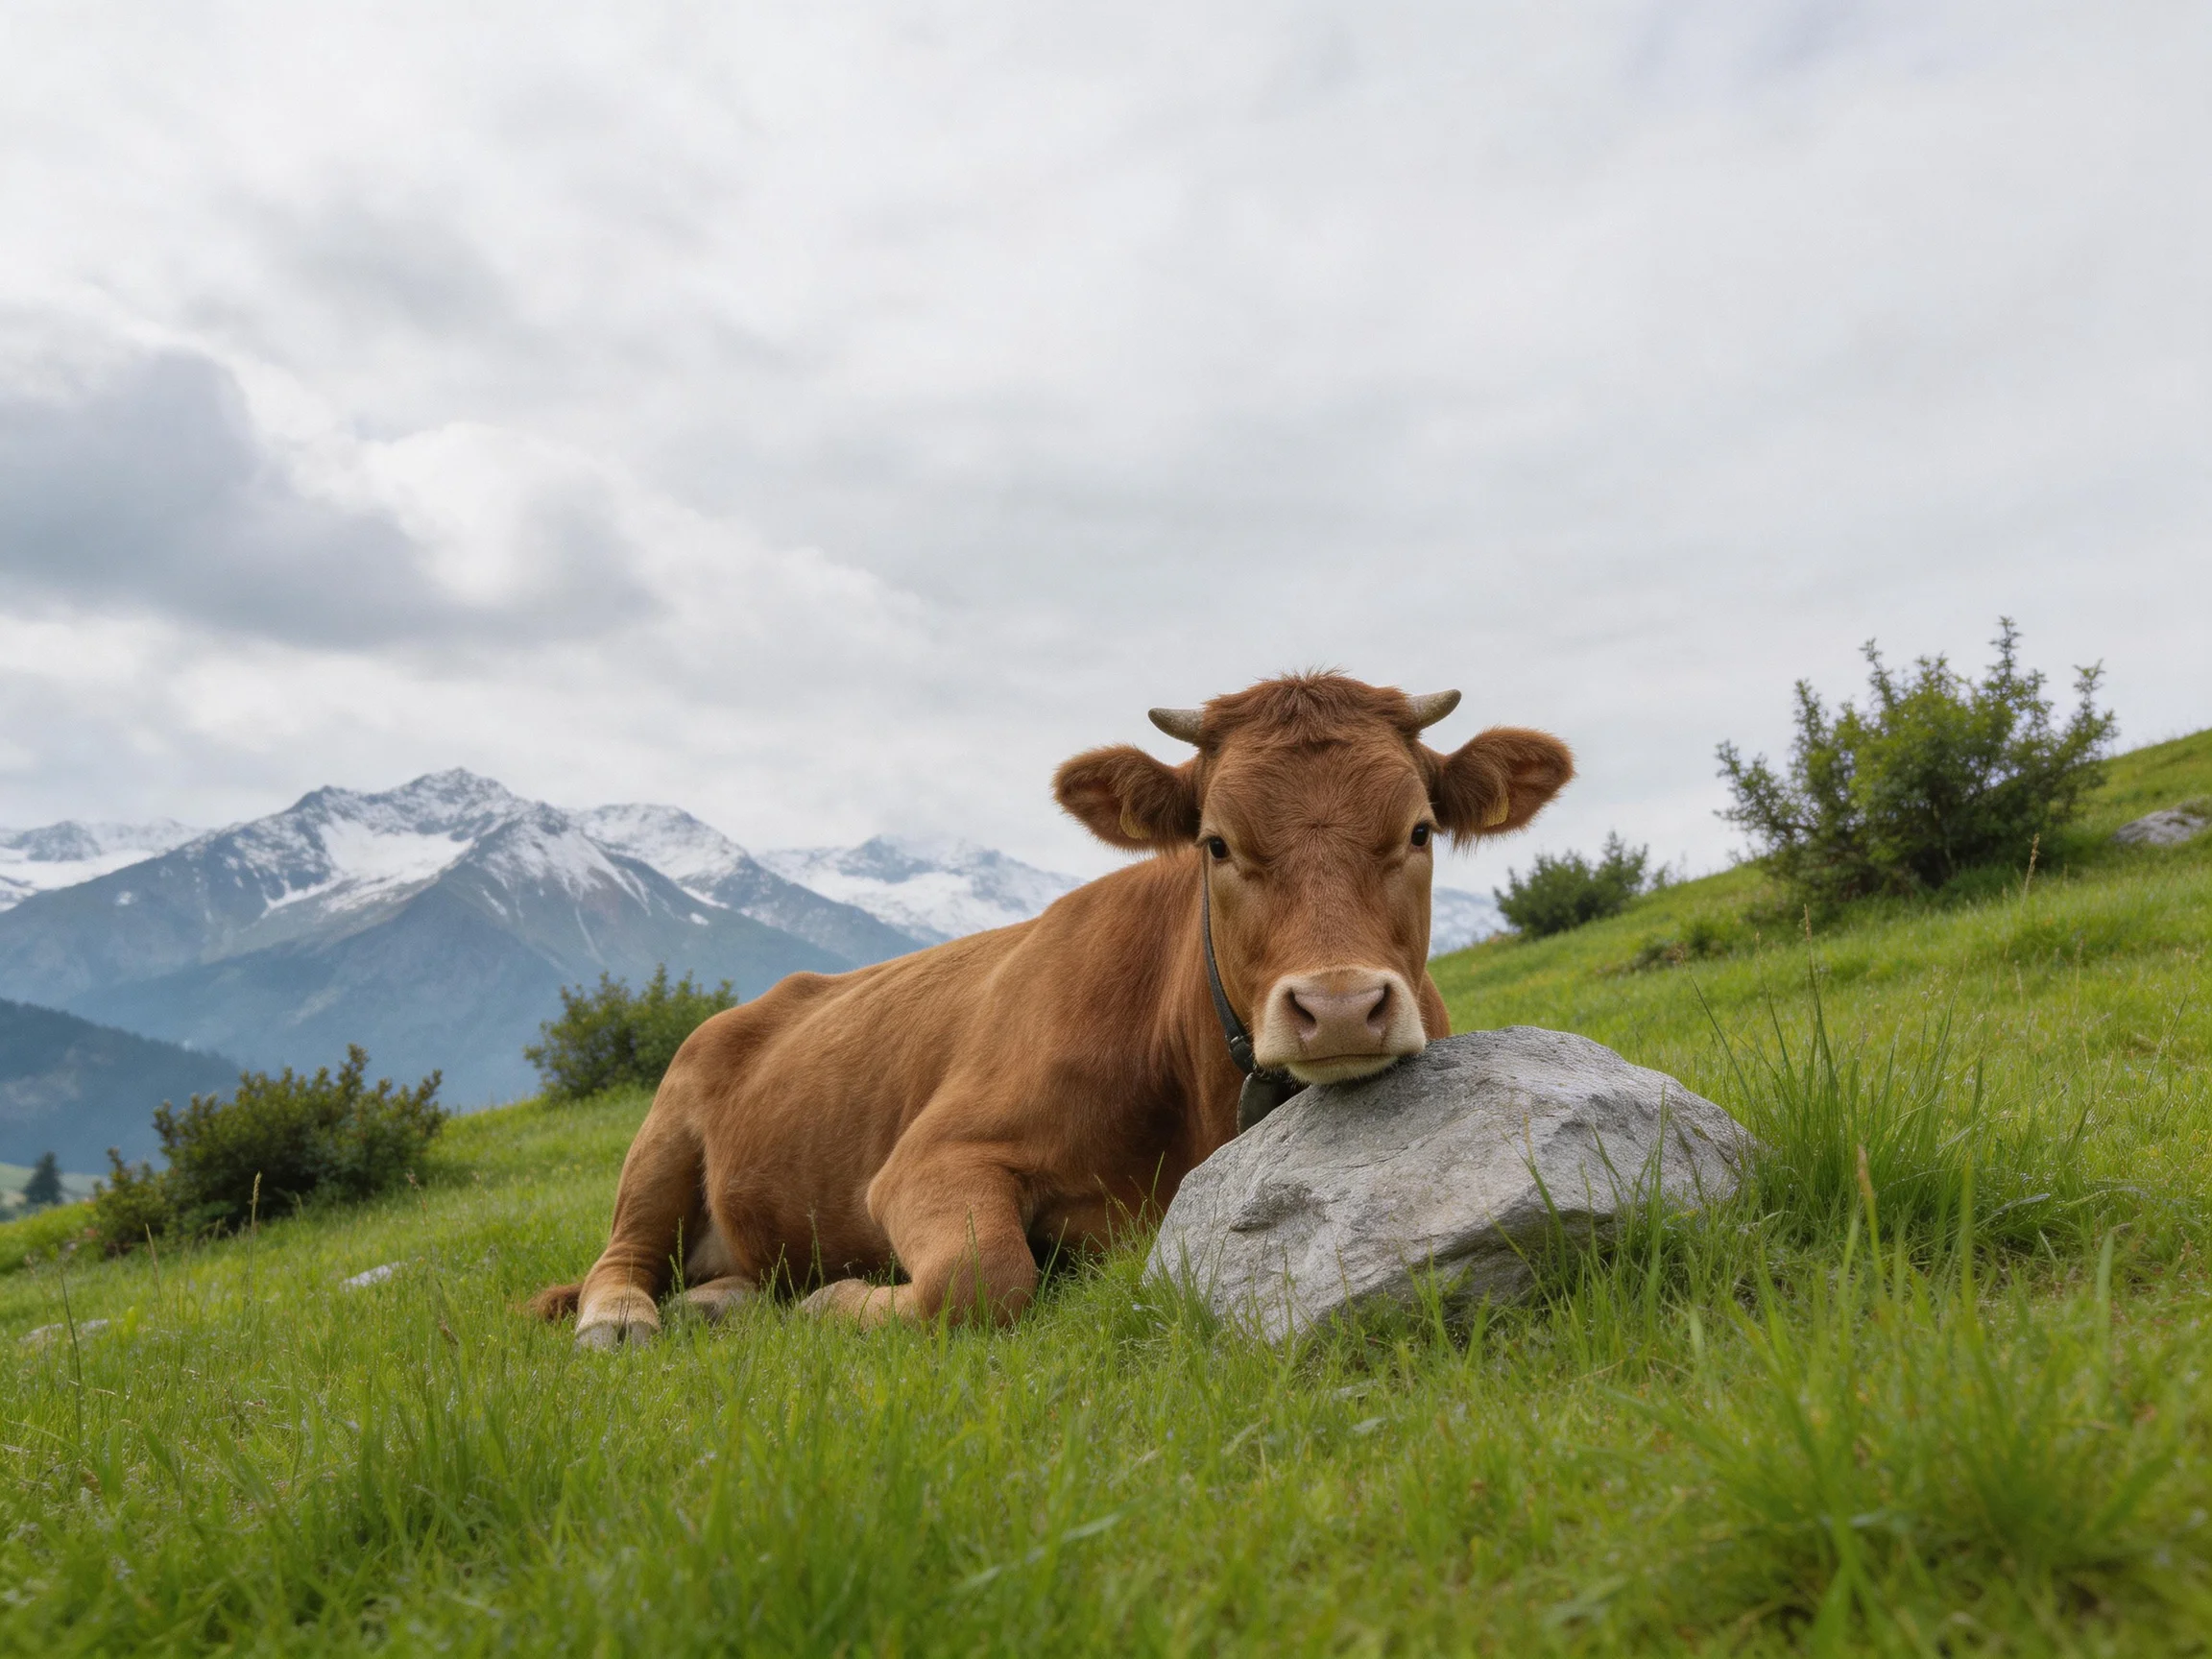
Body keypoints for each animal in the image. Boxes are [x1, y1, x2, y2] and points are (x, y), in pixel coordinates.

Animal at [531, 672, 1572, 1346]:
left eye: (1420, 831)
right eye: (1217, 843)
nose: (1343, 1006)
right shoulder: (928, 1157)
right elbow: (983, 1276)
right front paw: (835, 1303)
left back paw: (724, 1300)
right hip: (665, 1126)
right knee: (620, 1255)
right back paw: (625, 1320)